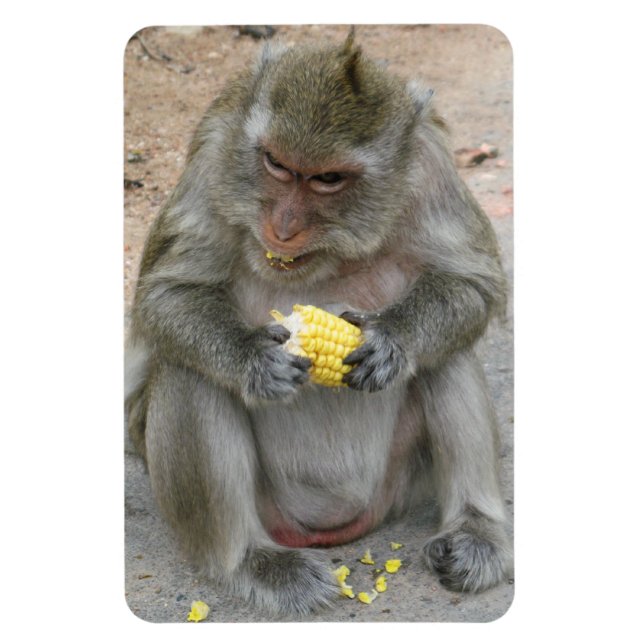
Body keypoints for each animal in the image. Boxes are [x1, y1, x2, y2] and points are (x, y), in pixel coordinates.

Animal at [125, 32, 513, 615]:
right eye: (277, 165)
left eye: (327, 179)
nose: (283, 227)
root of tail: (334, 529)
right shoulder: (215, 148)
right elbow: (166, 295)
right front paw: (253, 358)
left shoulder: (432, 165)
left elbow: (472, 281)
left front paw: (392, 340)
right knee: (186, 370)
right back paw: (250, 561)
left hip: (399, 483)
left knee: (448, 357)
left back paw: (475, 531)